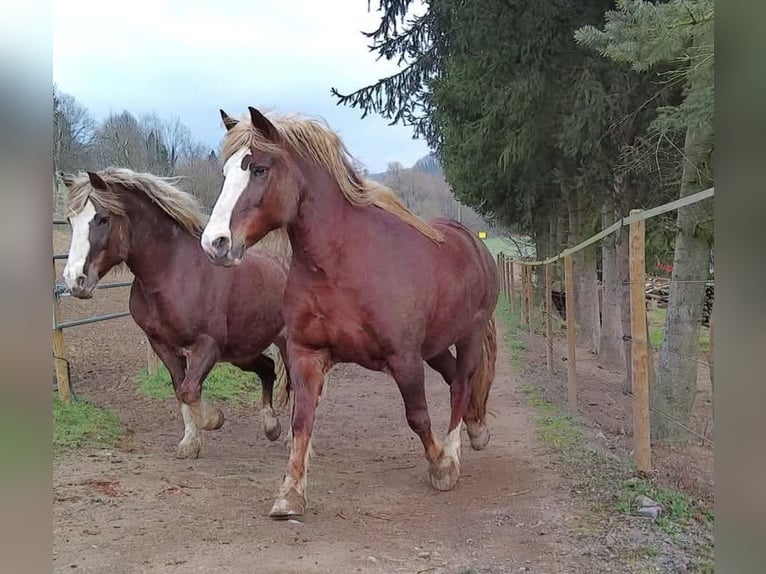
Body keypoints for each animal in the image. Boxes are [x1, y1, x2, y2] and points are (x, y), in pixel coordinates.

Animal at [60, 167, 293, 459]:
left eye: (102, 219)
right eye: (70, 220)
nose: (74, 281)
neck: (173, 273)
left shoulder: (207, 345)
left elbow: (190, 390)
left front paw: (214, 419)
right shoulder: (163, 346)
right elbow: (180, 389)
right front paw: (190, 442)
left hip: (287, 345)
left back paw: (290, 438)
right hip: (243, 351)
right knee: (268, 369)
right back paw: (271, 427)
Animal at [200, 107, 499, 520]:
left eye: (259, 169)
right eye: (227, 171)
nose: (215, 244)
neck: (342, 265)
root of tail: (473, 243)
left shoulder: (404, 358)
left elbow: (418, 415)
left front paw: (440, 464)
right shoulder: (307, 354)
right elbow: (301, 420)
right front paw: (290, 493)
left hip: (468, 335)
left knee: (461, 384)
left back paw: (454, 453)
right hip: (437, 346)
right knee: (457, 378)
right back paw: (476, 429)